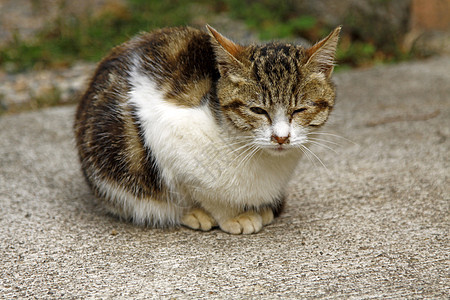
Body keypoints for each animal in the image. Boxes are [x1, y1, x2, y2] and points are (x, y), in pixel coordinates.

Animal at [74, 24, 342, 234]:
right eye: (257, 110)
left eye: (299, 110)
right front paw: (232, 215)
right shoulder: (166, 135)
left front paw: (260, 208)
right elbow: (205, 193)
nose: (281, 138)